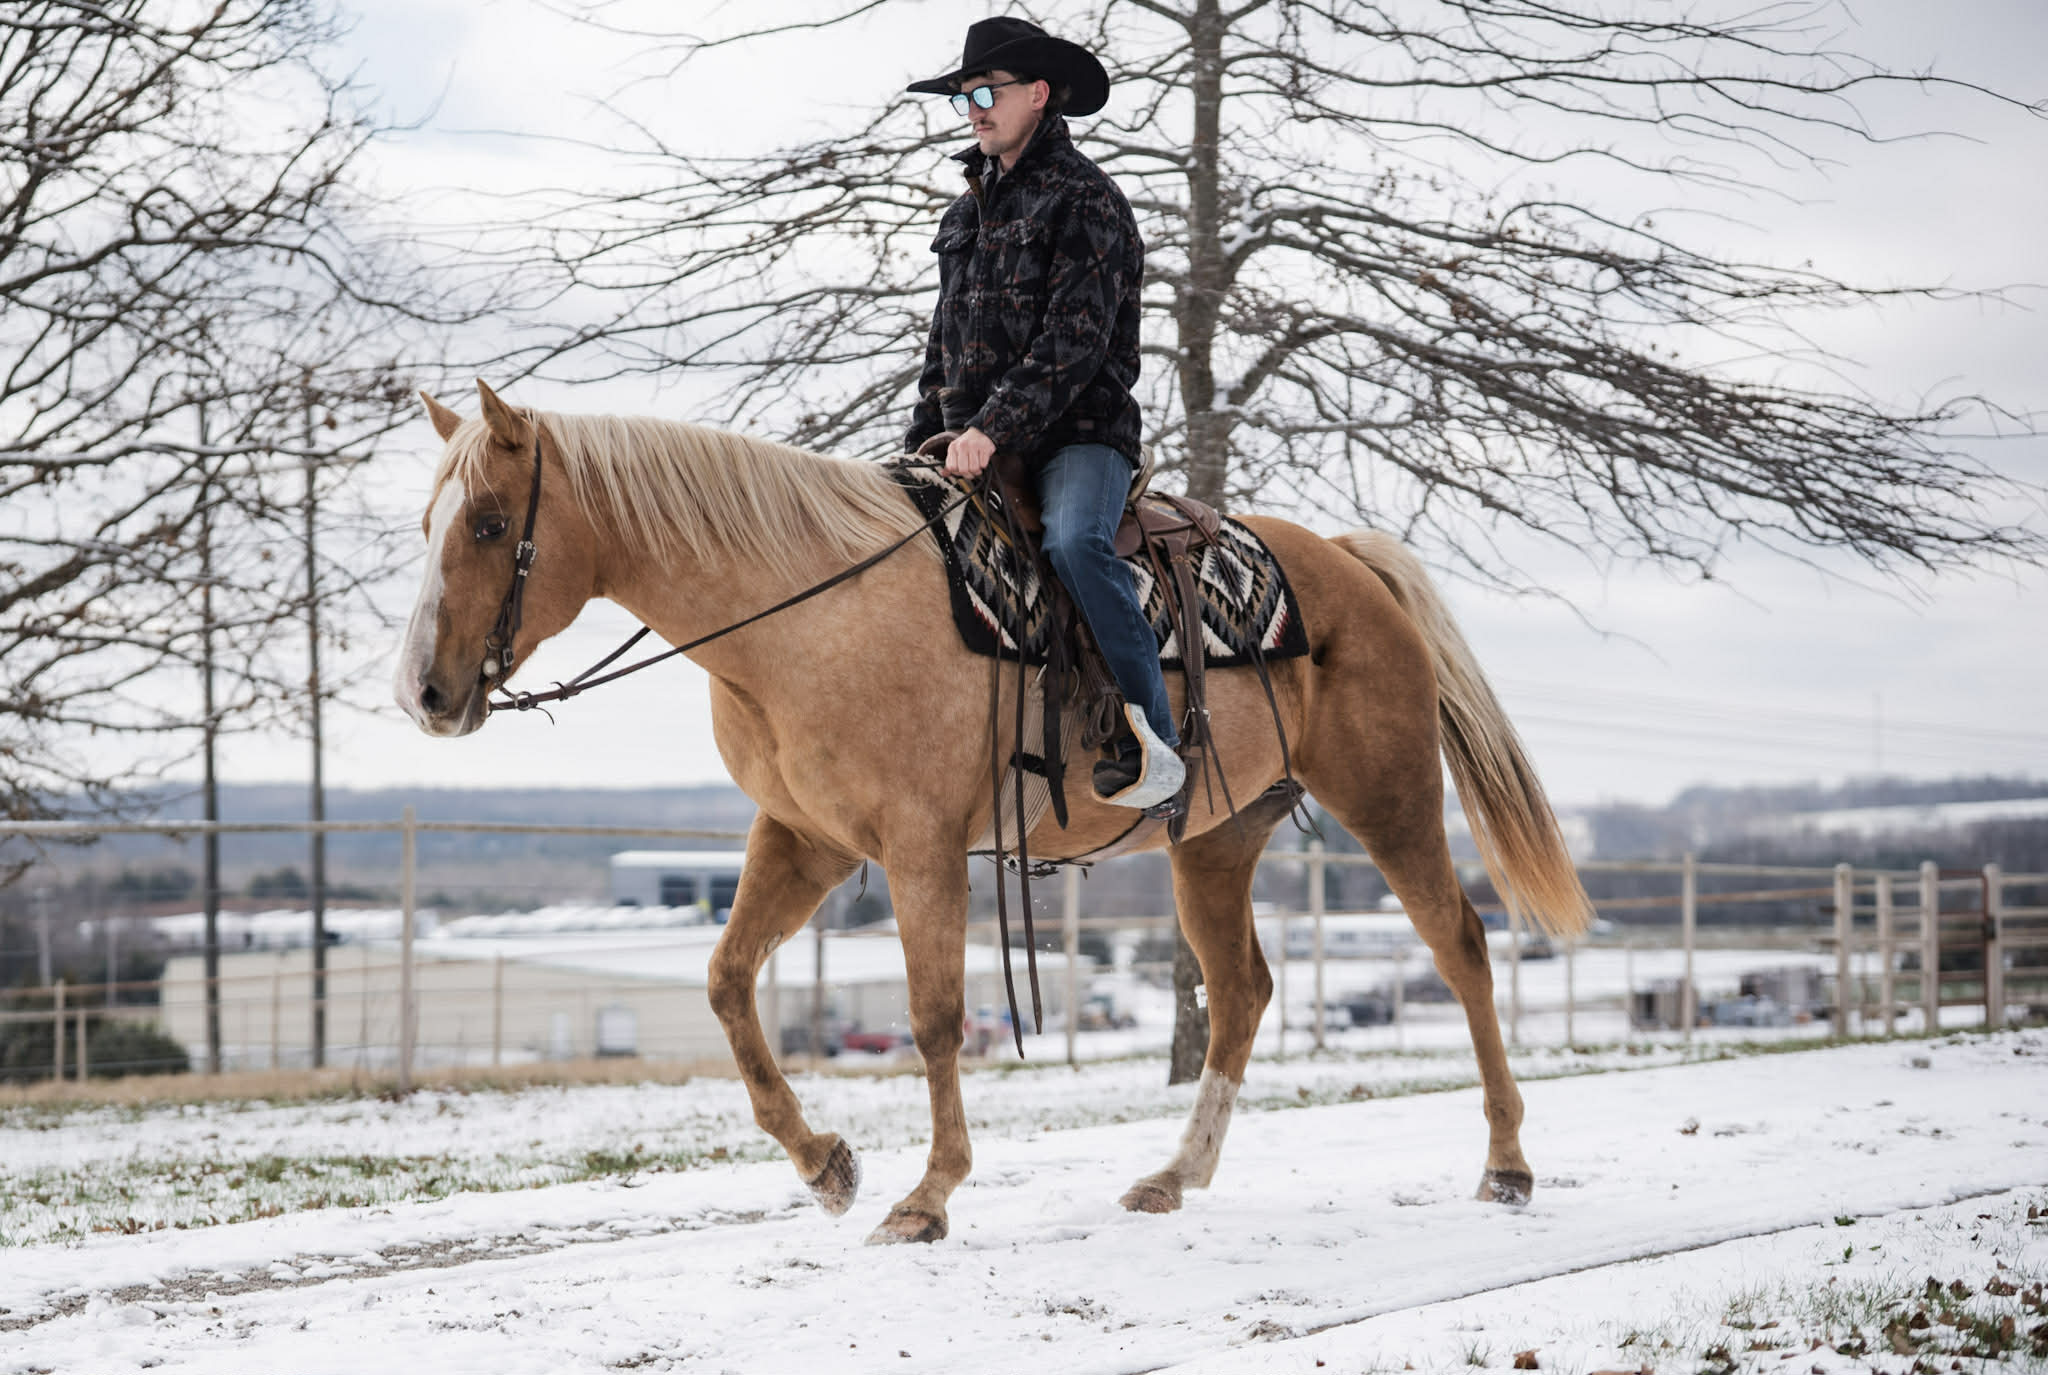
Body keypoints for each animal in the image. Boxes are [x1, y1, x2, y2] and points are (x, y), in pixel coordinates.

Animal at [396, 379, 1594, 1244]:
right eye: (426, 522)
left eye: (492, 523)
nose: (424, 694)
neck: (807, 612)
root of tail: (1349, 564)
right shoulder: (805, 839)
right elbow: (728, 983)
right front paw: (827, 1164)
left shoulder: (919, 847)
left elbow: (933, 1017)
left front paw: (926, 1198)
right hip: (1216, 840)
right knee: (1243, 991)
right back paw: (1174, 1175)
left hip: (1391, 799)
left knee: (1461, 946)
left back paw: (1506, 1166)